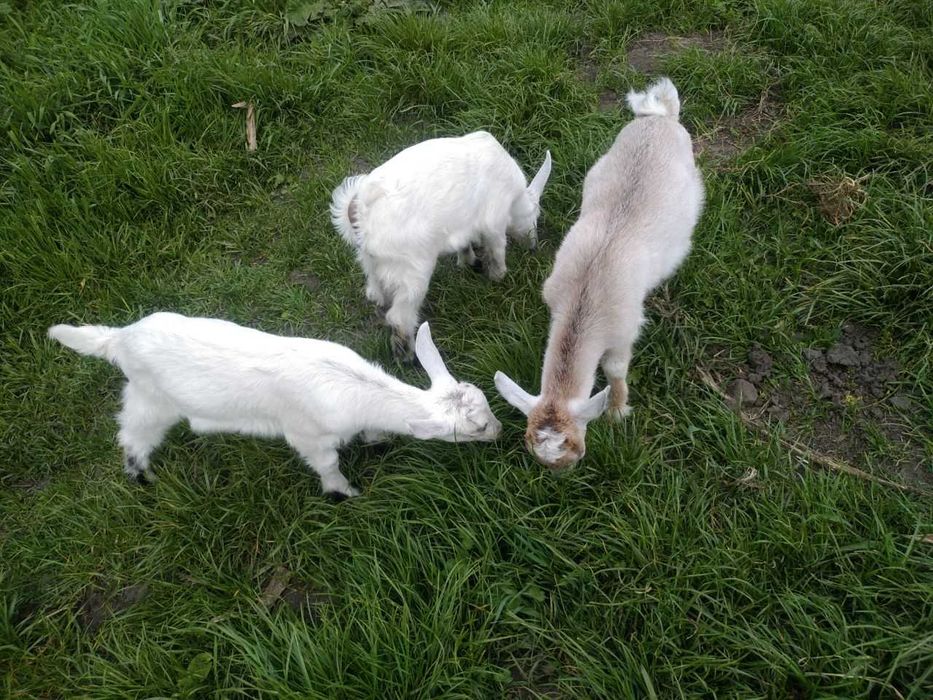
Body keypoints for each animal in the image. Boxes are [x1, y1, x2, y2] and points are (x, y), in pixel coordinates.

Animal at [48, 313, 501, 498]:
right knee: (132, 432)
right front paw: (345, 492)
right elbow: (328, 466)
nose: (499, 431)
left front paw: (377, 441)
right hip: (152, 398)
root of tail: (119, 338)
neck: (354, 387)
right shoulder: (308, 436)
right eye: (476, 429)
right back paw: (140, 475)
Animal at [330, 131, 552, 359]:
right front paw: (498, 277)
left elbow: (465, 246)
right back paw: (408, 355)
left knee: (376, 293)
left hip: (371, 264)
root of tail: (362, 211)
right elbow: (497, 252)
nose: (533, 245)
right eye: (536, 215)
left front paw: (469, 262)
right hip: (413, 274)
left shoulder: (463, 227)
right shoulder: (494, 223)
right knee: (400, 317)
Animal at [494, 78, 704, 469]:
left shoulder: (624, 333)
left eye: (575, 448)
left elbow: (616, 371)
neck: (583, 299)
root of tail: (661, 117)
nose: (558, 475)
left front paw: (618, 411)